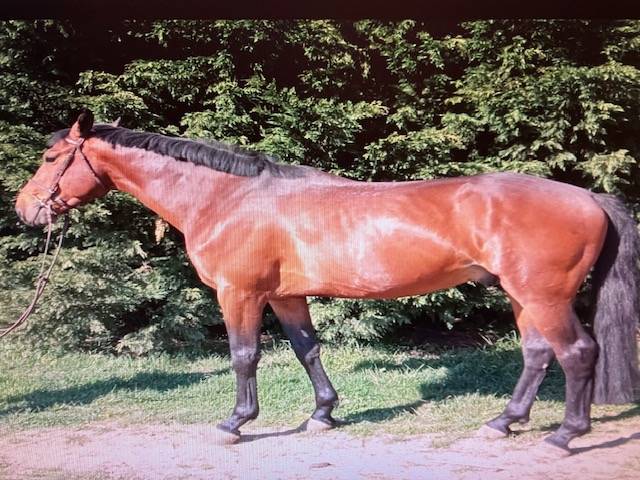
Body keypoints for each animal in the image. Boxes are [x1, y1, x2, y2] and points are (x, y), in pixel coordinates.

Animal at [15, 110, 640, 453]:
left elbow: (243, 356)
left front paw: (235, 423)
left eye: (50, 157)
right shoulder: (287, 296)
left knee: (577, 353)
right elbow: (307, 350)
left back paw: (565, 435)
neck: (228, 198)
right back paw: (503, 423)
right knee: (537, 355)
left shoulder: (240, 294)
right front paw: (323, 414)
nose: (25, 209)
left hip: (542, 296)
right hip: (521, 296)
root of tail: (588, 196)